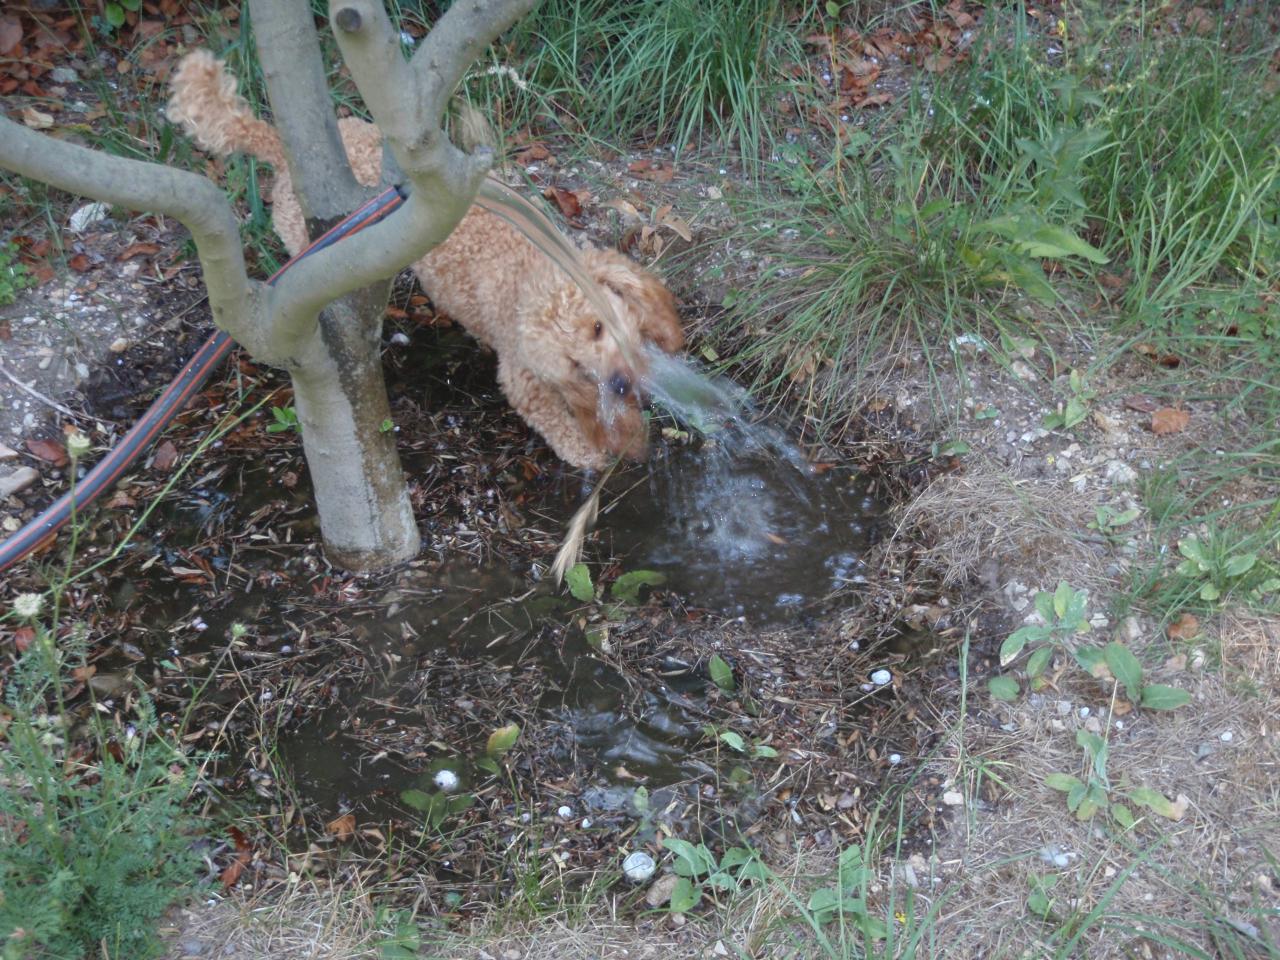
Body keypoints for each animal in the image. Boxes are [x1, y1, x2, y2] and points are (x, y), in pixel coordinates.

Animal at [171, 50, 691, 471]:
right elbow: (560, 422)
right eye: (574, 364)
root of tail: (275, 145)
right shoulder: (527, 380)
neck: (526, 270)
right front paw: (594, 455)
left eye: (599, 327)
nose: (620, 382)